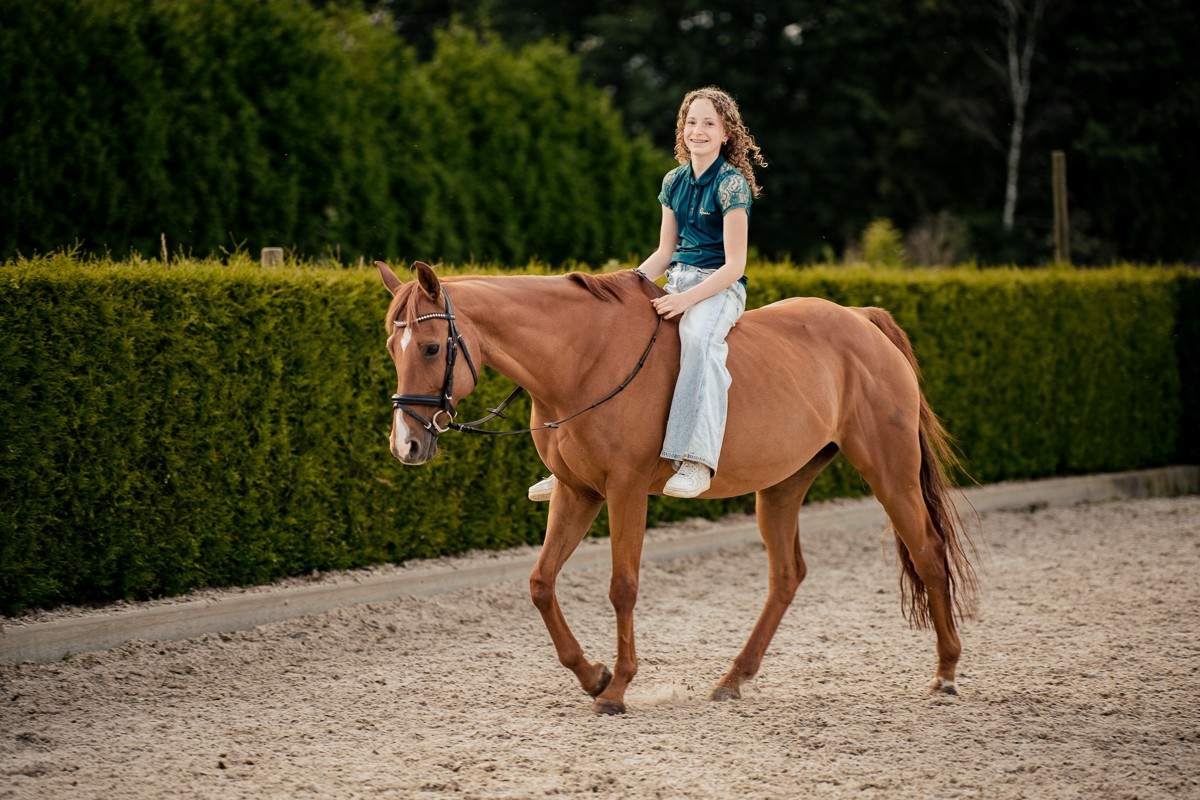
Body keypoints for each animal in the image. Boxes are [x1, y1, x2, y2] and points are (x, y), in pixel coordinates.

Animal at [374, 260, 974, 714]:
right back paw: (732, 680)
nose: (406, 444)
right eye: (390, 348)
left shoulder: (624, 491)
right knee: (787, 575)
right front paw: (592, 674)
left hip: (889, 472)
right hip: (783, 485)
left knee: (927, 551)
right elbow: (541, 583)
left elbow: (622, 586)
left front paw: (615, 689)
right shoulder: (576, 491)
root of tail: (861, 320)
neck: (582, 359)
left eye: (430, 348)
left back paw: (945, 672)